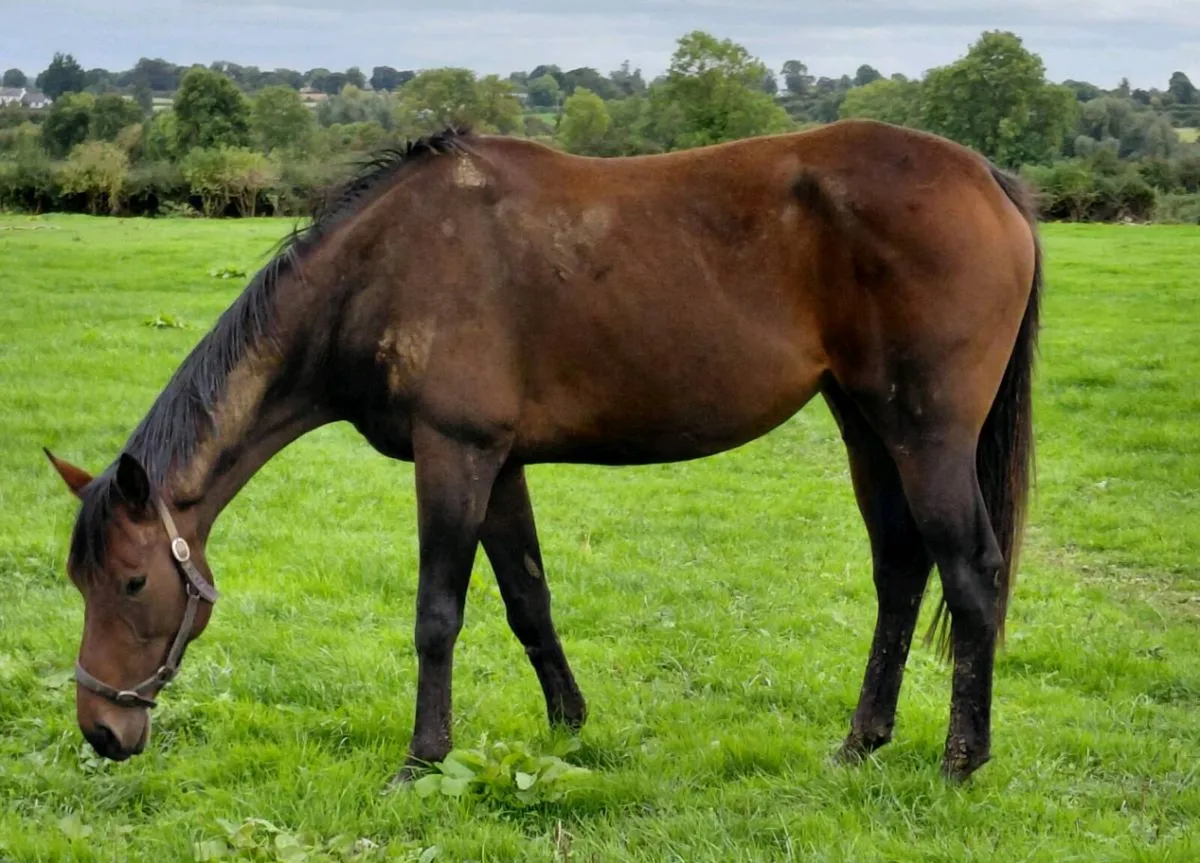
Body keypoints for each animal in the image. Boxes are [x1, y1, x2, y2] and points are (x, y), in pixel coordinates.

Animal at [45, 118, 1041, 783]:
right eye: (80, 581)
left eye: (132, 582)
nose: (99, 730)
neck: (382, 267)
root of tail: (987, 176)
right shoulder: (499, 464)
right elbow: (528, 596)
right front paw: (570, 723)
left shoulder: (455, 454)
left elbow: (437, 614)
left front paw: (423, 758)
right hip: (865, 424)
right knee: (901, 570)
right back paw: (860, 740)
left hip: (926, 434)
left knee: (971, 571)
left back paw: (961, 759)